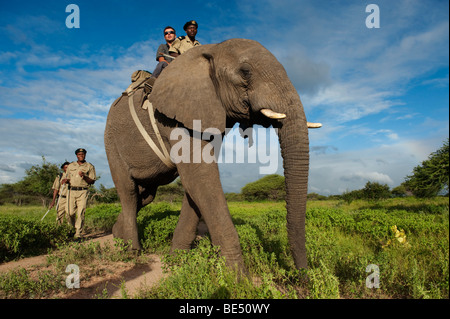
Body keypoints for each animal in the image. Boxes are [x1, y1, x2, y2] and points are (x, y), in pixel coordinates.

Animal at [103, 37, 318, 272]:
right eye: (245, 72)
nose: (303, 276)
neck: (212, 49)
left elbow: (195, 184)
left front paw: (177, 260)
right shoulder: (176, 116)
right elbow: (200, 178)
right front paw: (237, 278)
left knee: (145, 194)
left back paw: (117, 235)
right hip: (111, 142)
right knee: (129, 192)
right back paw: (131, 251)